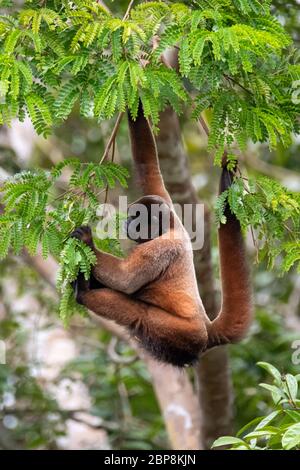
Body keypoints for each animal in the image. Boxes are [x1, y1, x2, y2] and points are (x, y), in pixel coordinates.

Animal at [72, 103, 253, 368]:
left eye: (136, 217)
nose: (127, 222)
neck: (167, 229)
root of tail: (207, 329)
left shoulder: (162, 247)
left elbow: (126, 280)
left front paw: (88, 242)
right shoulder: (166, 205)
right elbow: (149, 169)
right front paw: (135, 99)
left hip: (184, 333)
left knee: (139, 313)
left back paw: (84, 293)